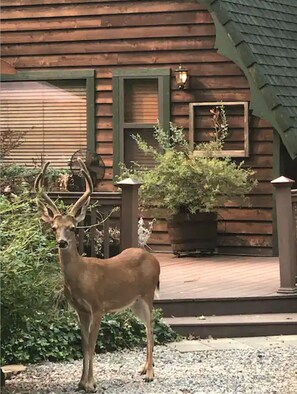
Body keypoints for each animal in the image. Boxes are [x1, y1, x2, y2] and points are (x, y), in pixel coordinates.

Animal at [34, 159, 160, 390]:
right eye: (54, 227)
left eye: (73, 228)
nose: (62, 242)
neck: (81, 276)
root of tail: (153, 259)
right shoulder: (80, 310)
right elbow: (84, 345)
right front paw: (81, 382)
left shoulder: (98, 306)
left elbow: (92, 344)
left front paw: (91, 383)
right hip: (135, 302)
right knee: (147, 325)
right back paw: (143, 368)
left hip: (148, 294)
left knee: (150, 326)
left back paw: (150, 374)